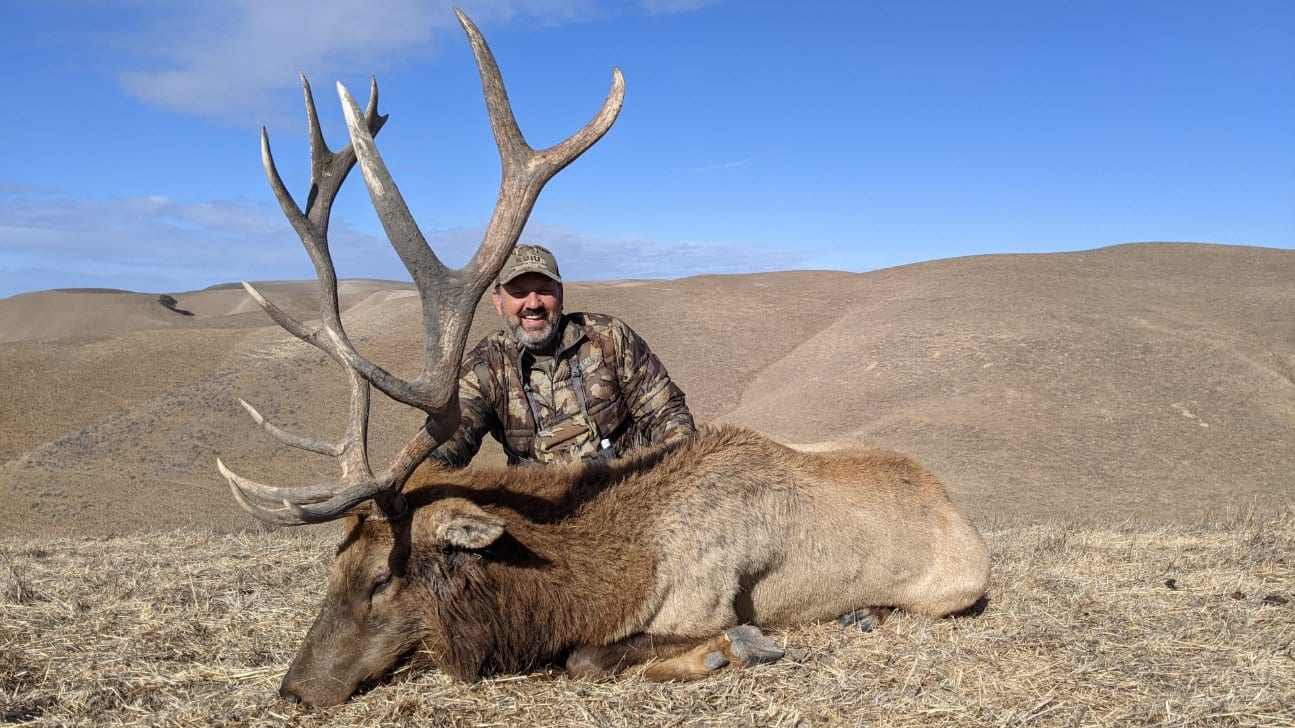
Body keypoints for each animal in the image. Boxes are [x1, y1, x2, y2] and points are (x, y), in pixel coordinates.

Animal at [218, 8, 991, 709]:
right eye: (334, 564)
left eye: (382, 575)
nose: (293, 689)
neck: (614, 568)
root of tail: (953, 502)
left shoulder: (709, 596)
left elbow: (588, 657)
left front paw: (730, 649)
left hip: (956, 588)